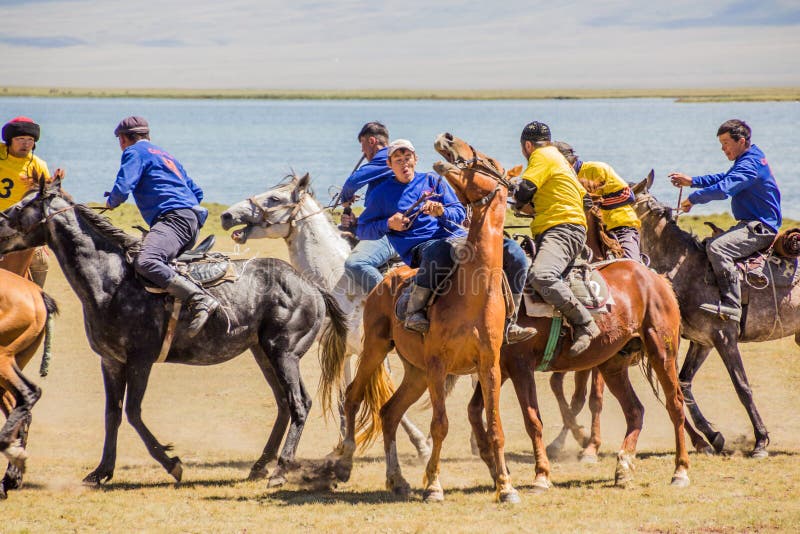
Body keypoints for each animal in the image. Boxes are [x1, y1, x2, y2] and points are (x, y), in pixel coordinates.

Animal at [0, 184, 346, 490]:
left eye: (20, 206)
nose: (0, 224)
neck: (112, 279)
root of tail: (311, 285)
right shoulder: (111, 362)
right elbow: (112, 414)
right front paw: (101, 471)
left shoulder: (141, 361)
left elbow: (133, 413)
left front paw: (171, 463)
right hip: (264, 353)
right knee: (285, 403)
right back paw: (261, 465)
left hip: (283, 353)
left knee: (299, 403)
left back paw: (280, 470)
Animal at [324, 132, 524, 504]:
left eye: (490, 161)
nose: (449, 138)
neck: (473, 293)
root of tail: (387, 278)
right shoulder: (438, 365)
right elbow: (440, 425)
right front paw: (433, 485)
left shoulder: (489, 366)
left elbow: (495, 427)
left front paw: (506, 487)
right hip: (377, 350)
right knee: (354, 396)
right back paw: (344, 464)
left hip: (415, 372)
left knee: (389, 412)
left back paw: (397, 479)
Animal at [632, 174, 800, 458]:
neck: (687, 267)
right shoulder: (703, 341)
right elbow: (684, 384)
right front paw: (713, 437)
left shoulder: (724, 337)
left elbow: (742, 387)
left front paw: (760, 441)